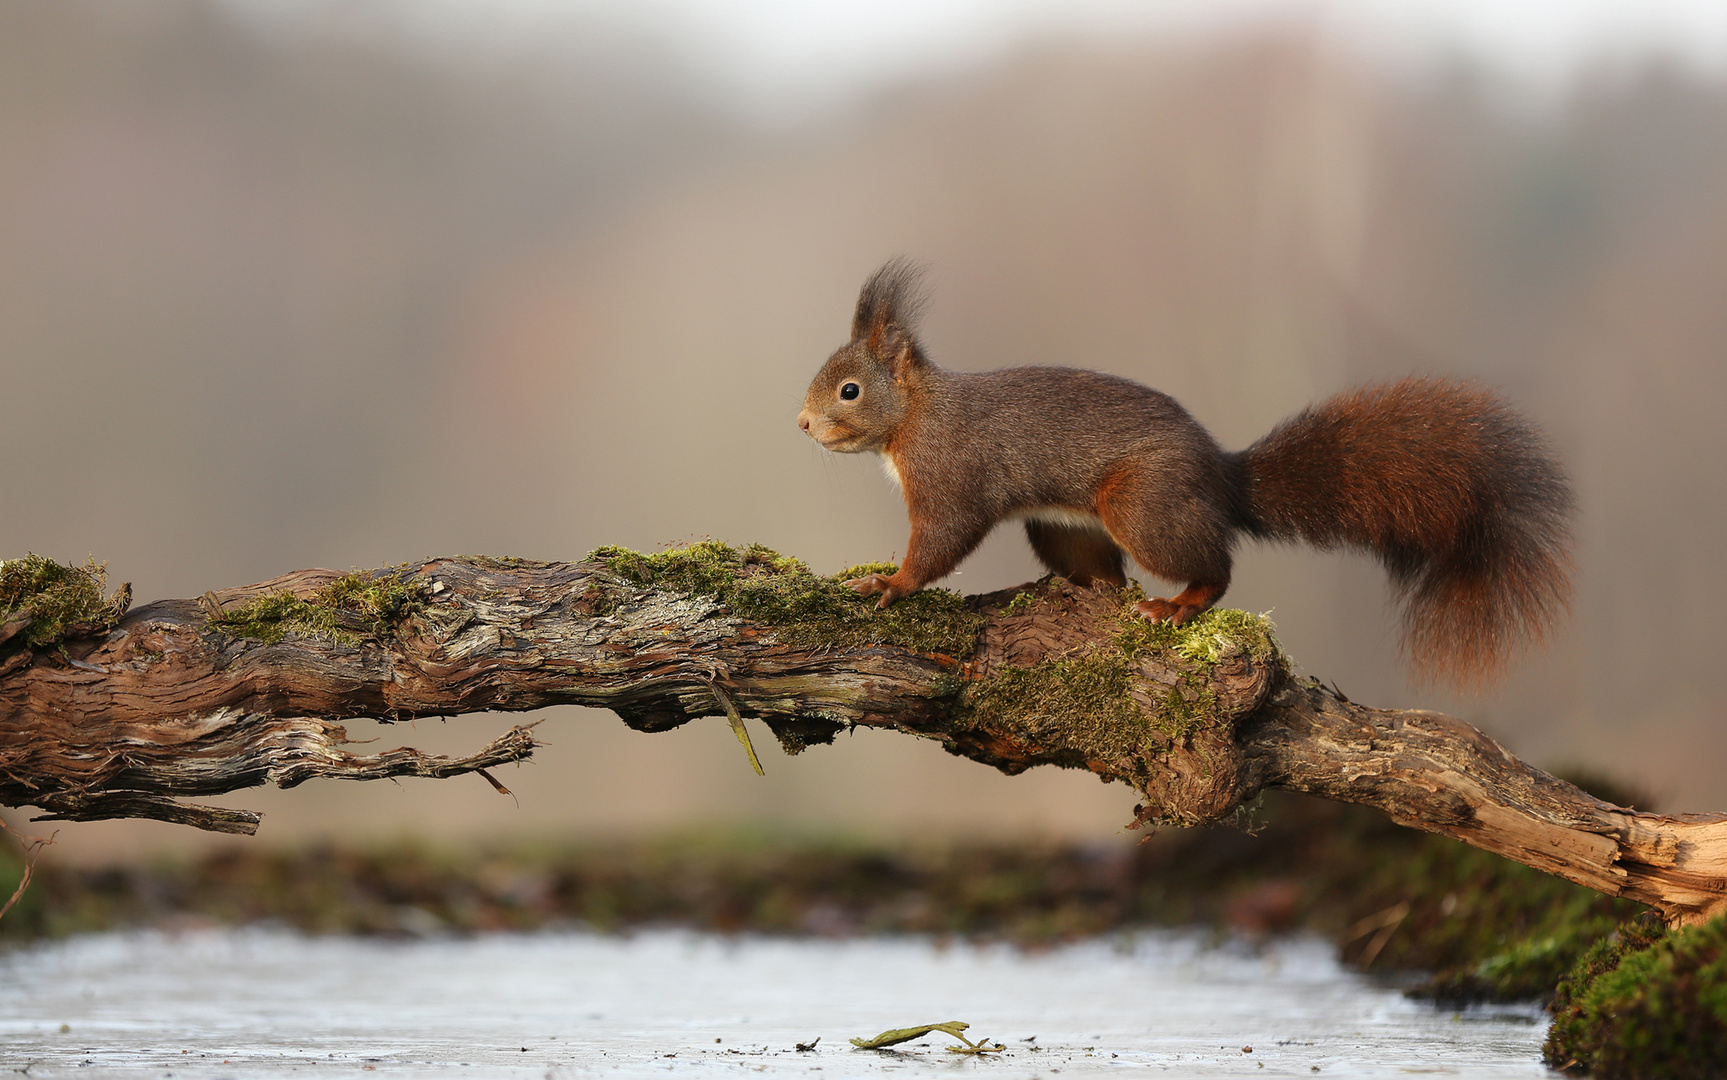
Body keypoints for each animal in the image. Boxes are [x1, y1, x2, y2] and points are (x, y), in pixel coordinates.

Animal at [801, 260, 1575, 680]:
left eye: (849, 390)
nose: (803, 425)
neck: (912, 419)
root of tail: (1223, 480)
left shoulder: (949, 475)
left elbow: (940, 541)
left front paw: (890, 583)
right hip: (1067, 525)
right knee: (1105, 576)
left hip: (1143, 507)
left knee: (1213, 567)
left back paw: (1177, 604)